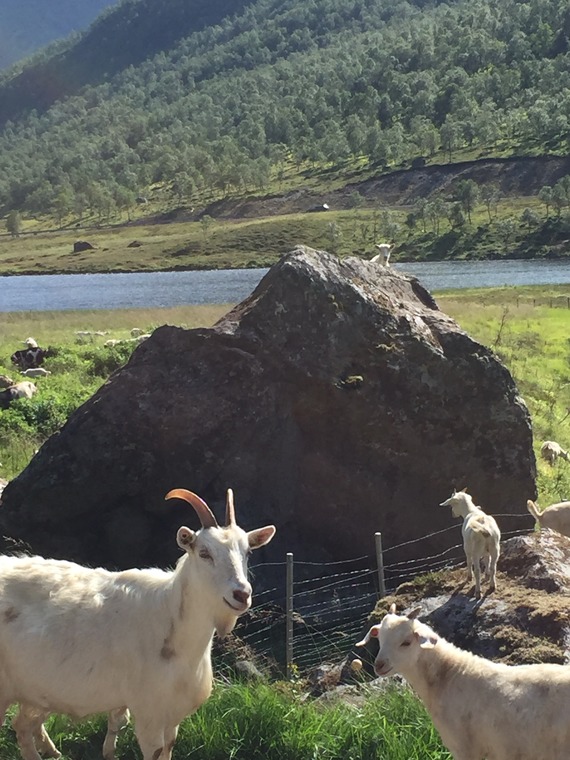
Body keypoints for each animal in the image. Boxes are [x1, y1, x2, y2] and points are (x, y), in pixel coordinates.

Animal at [0, 488, 275, 760]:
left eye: (248, 552)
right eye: (204, 553)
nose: (242, 594)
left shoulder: (171, 716)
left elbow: (167, 747)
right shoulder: (148, 713)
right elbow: (154, 750)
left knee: (23, 725)